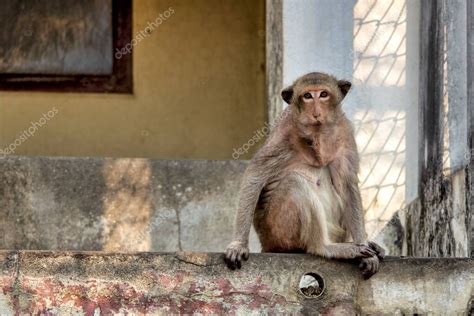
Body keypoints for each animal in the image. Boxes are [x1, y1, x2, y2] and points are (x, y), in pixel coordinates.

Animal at [225, 72, 386, 278]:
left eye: (323, 94)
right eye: (307, 96)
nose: (316, 112)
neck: (318, 136)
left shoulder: (345, 133)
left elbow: (347, 185)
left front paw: (366, 248)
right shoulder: (284, 133)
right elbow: (256, 174)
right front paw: (238, 245)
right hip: (278, 232)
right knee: (295, 182)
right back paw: (324, 247)